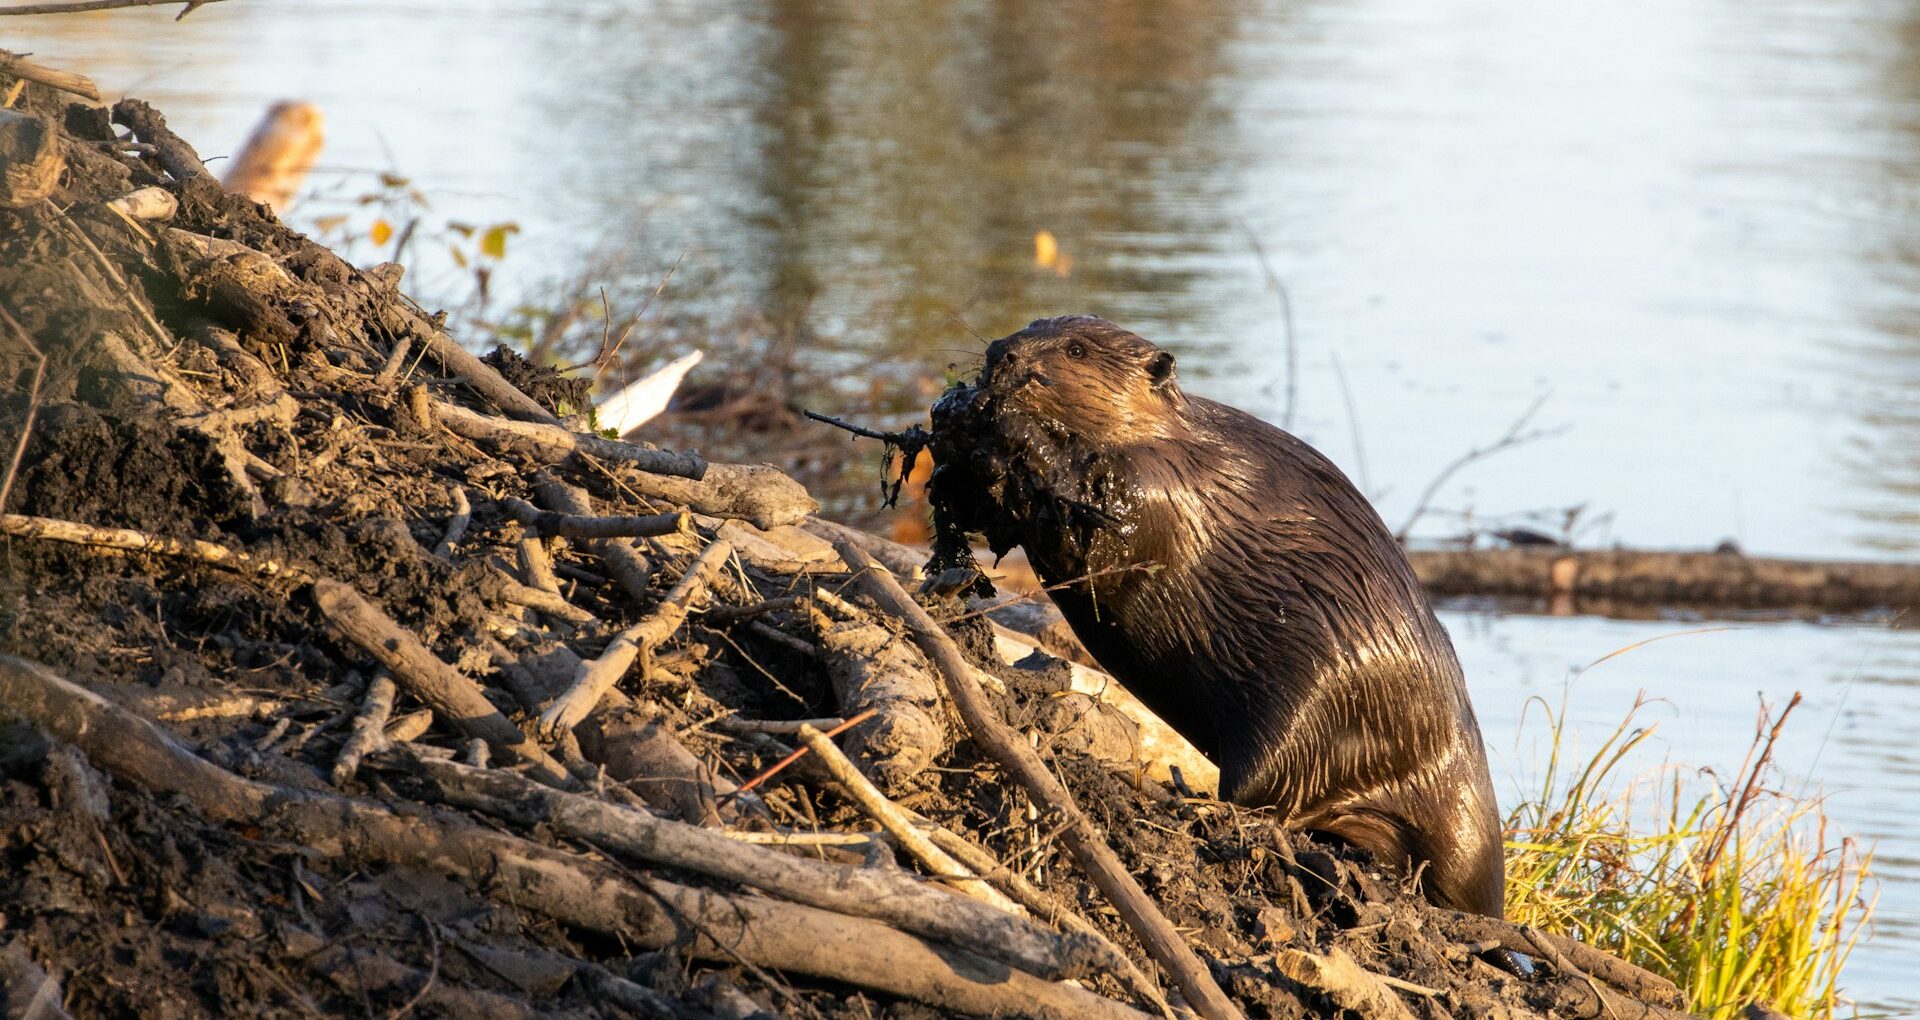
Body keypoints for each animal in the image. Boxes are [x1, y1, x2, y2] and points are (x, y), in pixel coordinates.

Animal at [933, 313, 1512, 918]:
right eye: (1031, 325)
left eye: (1076, 349)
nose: (1001, 355)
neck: (1183, 448)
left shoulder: (1159, 486)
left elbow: (1098, 533)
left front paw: (1008, 435)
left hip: (1313, 709)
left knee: (1274, 796)